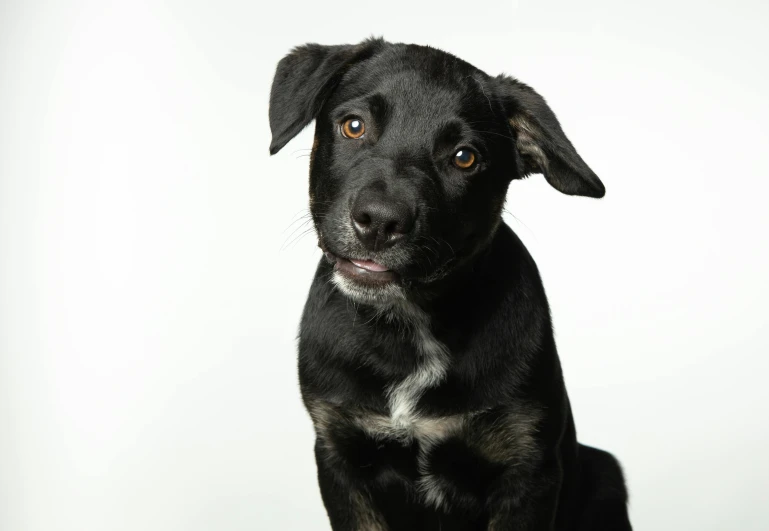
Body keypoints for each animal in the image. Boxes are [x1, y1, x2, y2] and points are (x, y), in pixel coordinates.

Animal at [268, 38, 632, 531]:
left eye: (465, 157)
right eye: (353, 126)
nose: (379, 222)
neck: (411, 324)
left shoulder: (527, 470)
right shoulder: (340, 456)